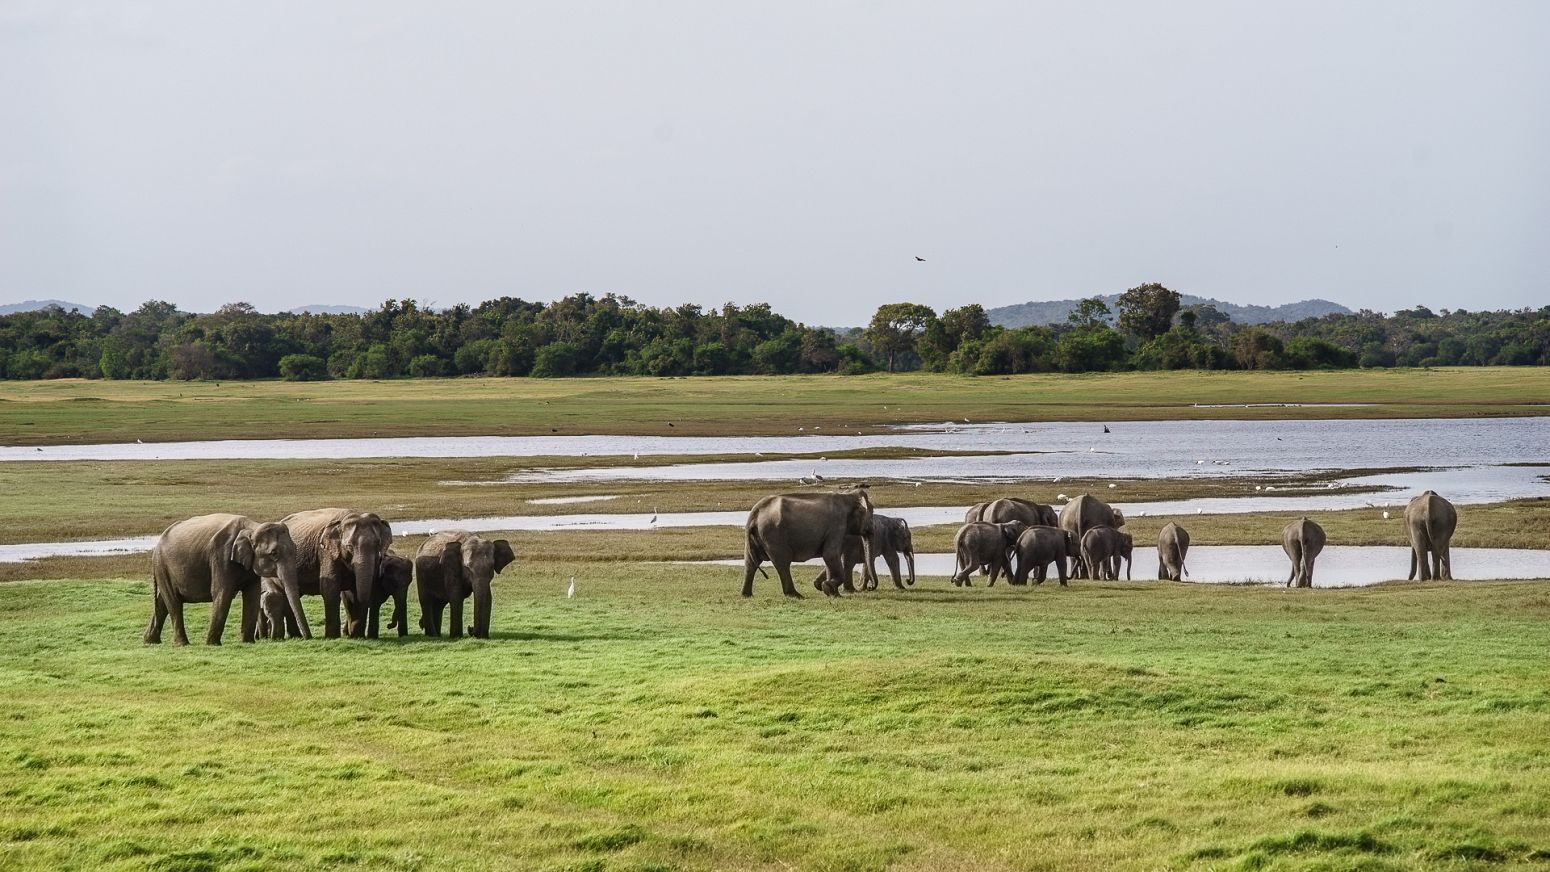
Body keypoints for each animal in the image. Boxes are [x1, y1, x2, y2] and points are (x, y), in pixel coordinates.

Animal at [145, 511, 305, 647]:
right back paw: (182, 644)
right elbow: (222, 593)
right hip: (162, 565)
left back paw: (150, 641)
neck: (252, 527)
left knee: (162, 601)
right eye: (274, 553)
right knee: (173, 601)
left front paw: (248, 642)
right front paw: (212, 645)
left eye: (295, 548)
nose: (306, 638)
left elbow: (252, 596)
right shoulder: (221, 556)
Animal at [283, 508, 393, 638]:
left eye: (377, 545)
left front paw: (357, 636)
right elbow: (330, 589)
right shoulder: (326, 553)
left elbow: (357, 590)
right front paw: (332, 637)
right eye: (349, 546)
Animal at [740, 492, 874, 600]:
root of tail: (756, 511)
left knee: (751, 563)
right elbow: (830, 555)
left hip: (756, 537)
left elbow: (829, 558)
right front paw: (827, 587)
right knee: (782, 563)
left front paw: (834, 594)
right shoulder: (837, 526)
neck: (848, 496)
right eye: (872, 513)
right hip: (773, 535)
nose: (870, 587)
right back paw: (795, 595)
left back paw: (746, 595)